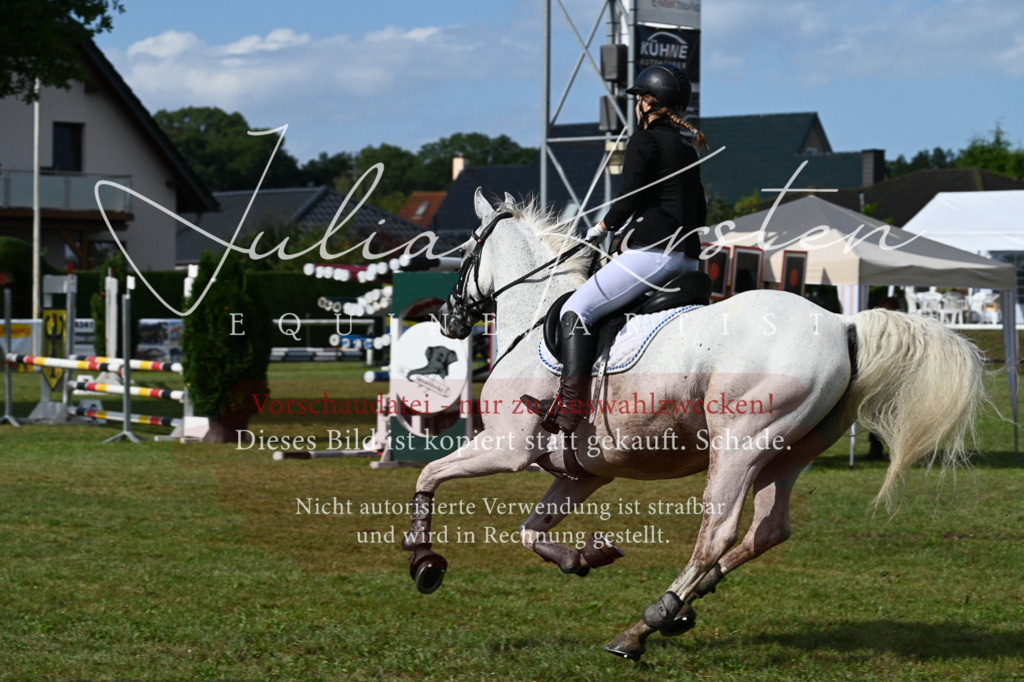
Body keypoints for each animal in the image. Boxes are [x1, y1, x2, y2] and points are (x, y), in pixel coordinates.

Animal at [400, 188, 986, 661]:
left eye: (465, 250)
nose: (446, 318)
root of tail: (842, 323)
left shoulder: (505, 448)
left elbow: (428, 475)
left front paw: (424, 559)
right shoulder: (583, 473)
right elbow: (530, 533)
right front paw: (586, 556)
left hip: (740, 445)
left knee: (718, 532)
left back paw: (648, 621)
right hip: (788, 452)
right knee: (769, 528)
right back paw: (681, 605)